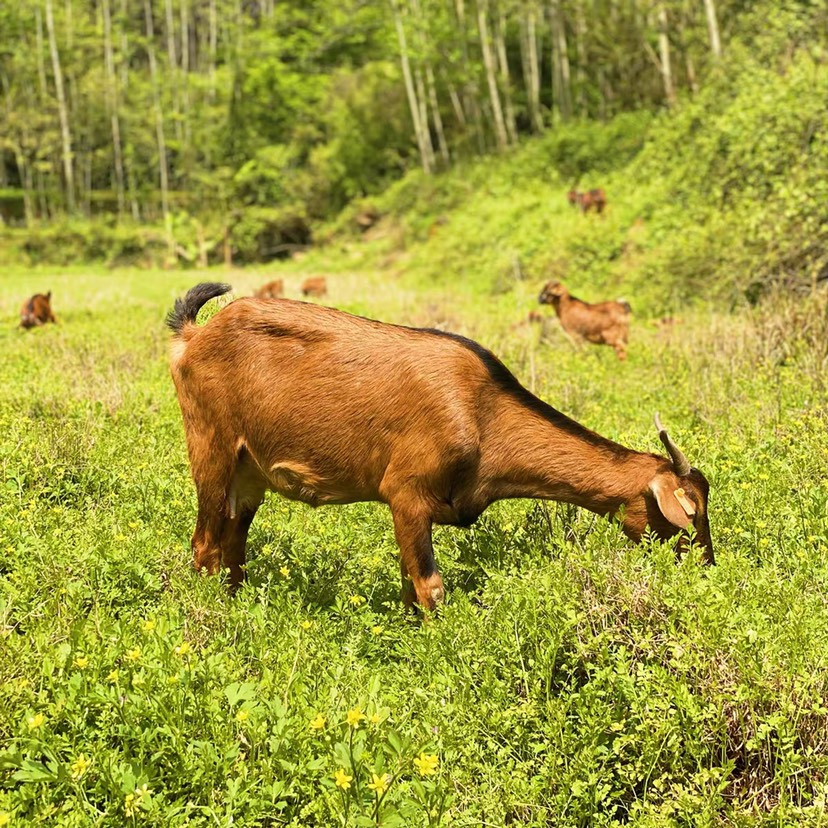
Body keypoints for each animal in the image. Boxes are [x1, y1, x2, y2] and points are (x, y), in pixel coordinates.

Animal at [167, 284, 712, 608]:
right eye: (689, 511)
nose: (707, 566)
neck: (482, 412)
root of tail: (194, 335)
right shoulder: (406, 493)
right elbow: (430, 586)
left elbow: (411, 583)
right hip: (211, 449)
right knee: (203, 545)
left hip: (248, 474)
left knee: (233, 548)